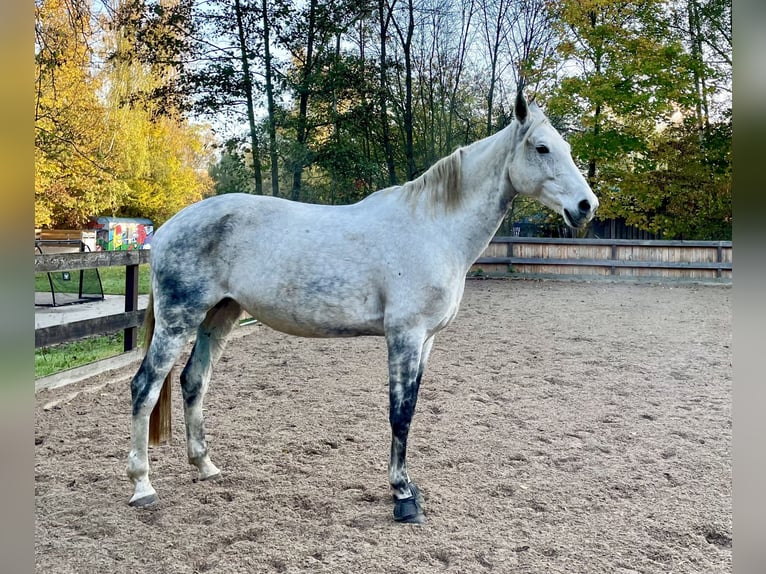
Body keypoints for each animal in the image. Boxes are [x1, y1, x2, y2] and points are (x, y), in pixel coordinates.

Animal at [126, 91, 600, 528]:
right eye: (542, 148)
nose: (586, 207)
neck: (432, 228)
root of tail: (168, 228)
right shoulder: (405, 336)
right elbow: (400, 413)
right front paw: (403, 496)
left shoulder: (426, 341)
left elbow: (410, 410)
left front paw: (408, 489)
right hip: (178, 319)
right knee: (145, 388)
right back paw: (142, 486)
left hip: (220, 315)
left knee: (193, 381)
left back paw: (205, 466)